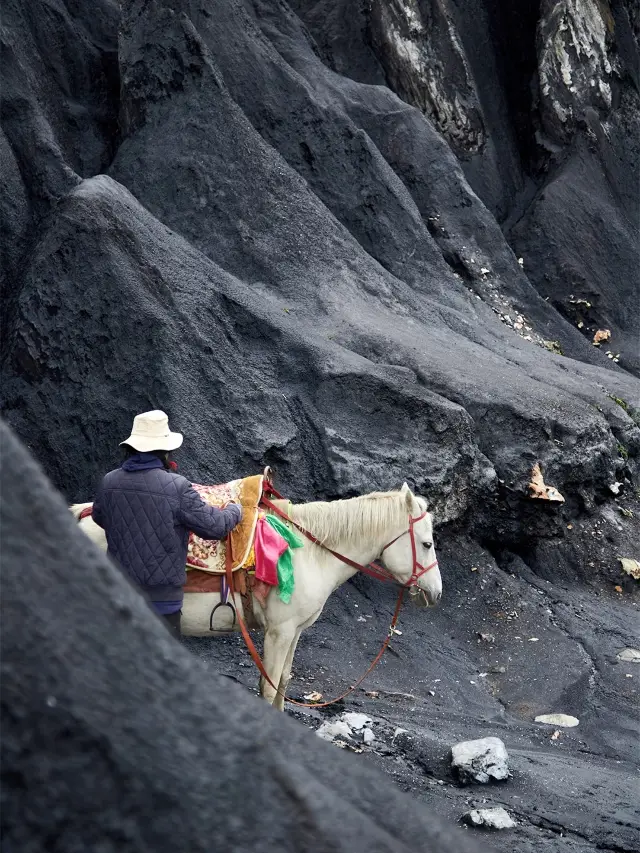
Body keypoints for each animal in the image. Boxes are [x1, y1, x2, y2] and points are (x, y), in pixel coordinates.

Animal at [70, 482, 440, 708]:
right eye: (426, 543)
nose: (436, 593)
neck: (309, 552)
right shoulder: (278, 633)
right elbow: (269, 686)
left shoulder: (295, 632)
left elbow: (284, 683)